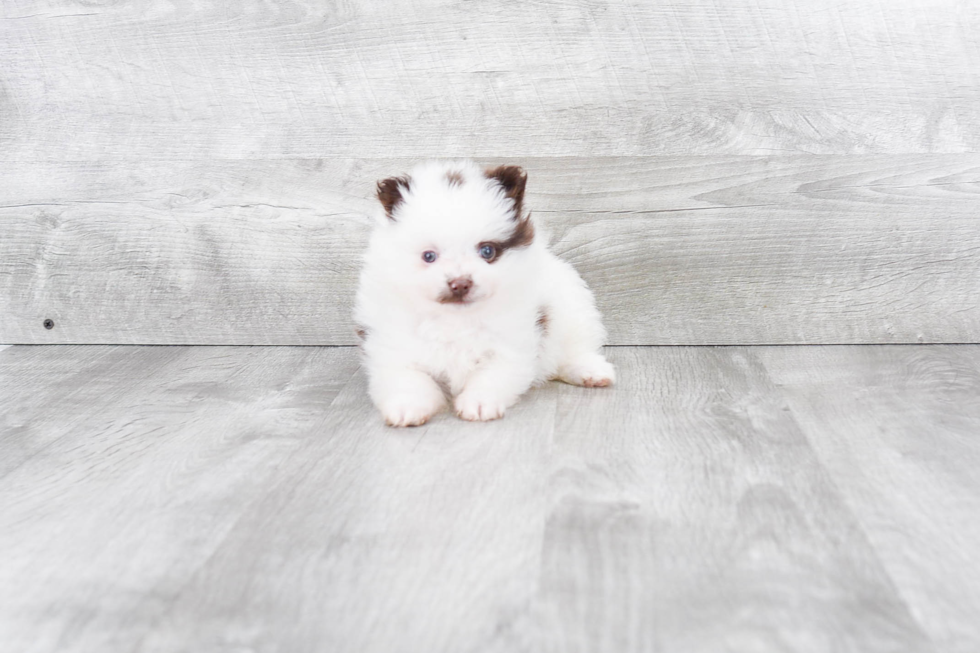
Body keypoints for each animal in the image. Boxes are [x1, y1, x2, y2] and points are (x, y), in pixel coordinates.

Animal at [352, 162, 612, 428]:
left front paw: (479, 403)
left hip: (571, 307)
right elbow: (409, 377)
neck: (455, 318)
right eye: (429, 256)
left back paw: (591, 371)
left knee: (573, 349)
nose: (460, 283)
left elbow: (491, 375)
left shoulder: (512, 342)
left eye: (487, 251)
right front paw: (407, 407)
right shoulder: (393, 344)